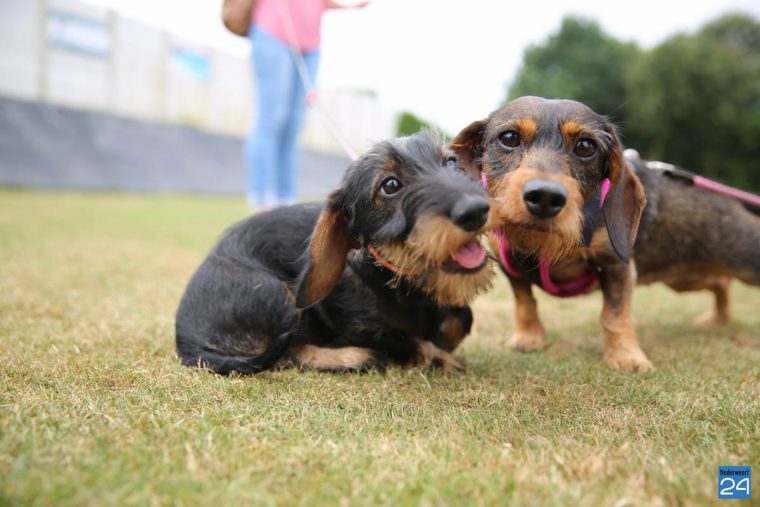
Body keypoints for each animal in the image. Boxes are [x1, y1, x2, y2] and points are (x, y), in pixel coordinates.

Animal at [178, 133, 498, 376]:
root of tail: (184, 338)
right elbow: (411, 341)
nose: (476, 210)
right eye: (390, 185)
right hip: (276, 293)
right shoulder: (359, 327)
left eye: (452, 162)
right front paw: (440, 357)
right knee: (288, 353)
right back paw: (356, 357)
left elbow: (457, 321)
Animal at [452, 96, 760, 374]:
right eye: (509, 137)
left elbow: (614, 315)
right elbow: (525, 302)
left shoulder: (617, 266)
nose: (545, 197)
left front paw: (627, 357)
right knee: (720, 282)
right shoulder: (511, 269)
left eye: (586, 146)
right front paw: (529, 339)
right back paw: (718, 318)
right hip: (685, 279)